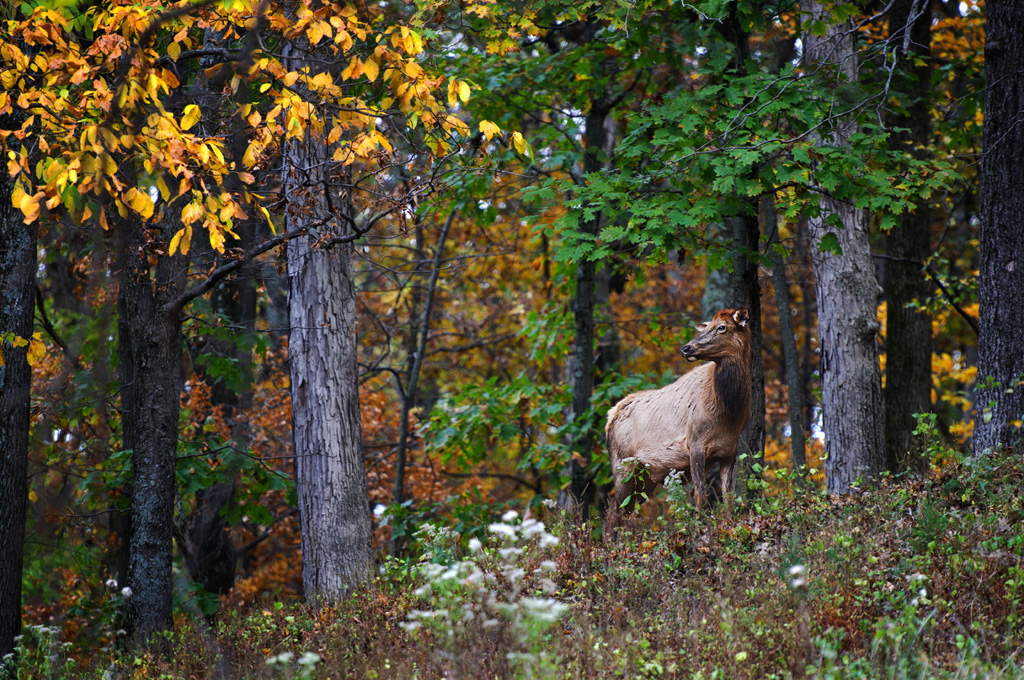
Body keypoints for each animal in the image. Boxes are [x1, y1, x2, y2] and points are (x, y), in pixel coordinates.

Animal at [605, 308, 752, 512]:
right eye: (708, 325)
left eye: (722, 327)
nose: (686, 348)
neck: (730, 410)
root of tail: (611, 416)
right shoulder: (695, 443)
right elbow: (700, 496)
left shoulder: (729, 451)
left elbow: (729, 499)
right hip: (622, 466)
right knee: (614, 511)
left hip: (645, 476)